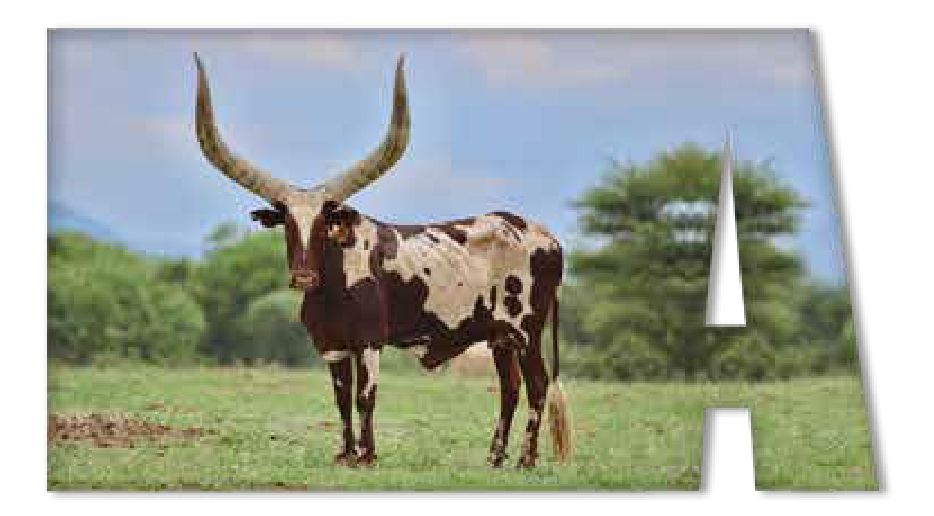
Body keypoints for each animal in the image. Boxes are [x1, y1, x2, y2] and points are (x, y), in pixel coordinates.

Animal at [193, 53, 570, 468]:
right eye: (288, 224)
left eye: (327, 222)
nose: (304, 278)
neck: (334, 287)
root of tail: (548, 238)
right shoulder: (333, 345)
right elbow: (341, 399)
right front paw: (344, 454)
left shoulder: (370, 341)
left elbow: (365, 398)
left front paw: (367, 455)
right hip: (499, 336)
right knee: (510, 388)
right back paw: (494, 458)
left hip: (526, 331)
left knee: (537, 386)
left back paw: (525, 460)